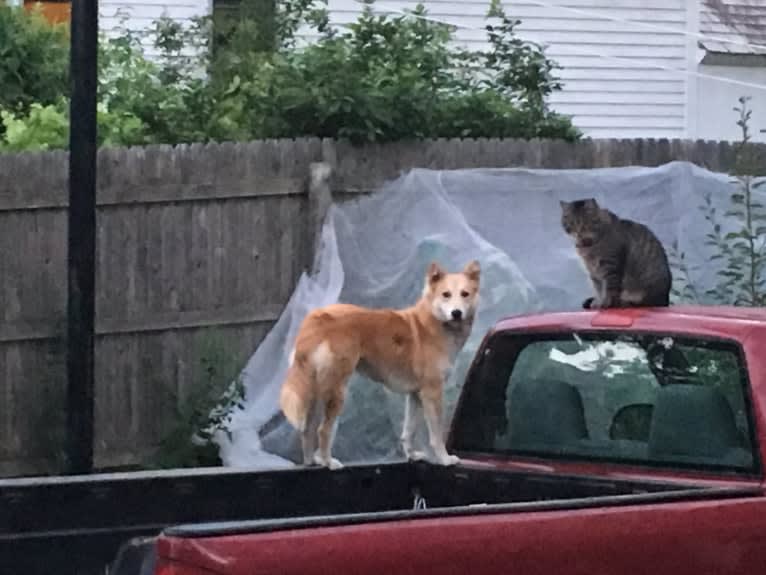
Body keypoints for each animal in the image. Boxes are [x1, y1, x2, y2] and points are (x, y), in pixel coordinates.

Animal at [280, 260, 484, 468]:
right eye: (446, 294)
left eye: (465, 294)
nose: (456, 313)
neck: (434, 323)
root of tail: (319, 315)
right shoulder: (432, 392)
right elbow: (436, 435)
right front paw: (444, 459)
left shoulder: (415, 395)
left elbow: (408, 431)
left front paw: (412, 455)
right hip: (336, 390)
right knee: (323, 430)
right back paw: (328, 462)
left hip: (315, 390)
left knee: (307, 429)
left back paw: (311, 462)